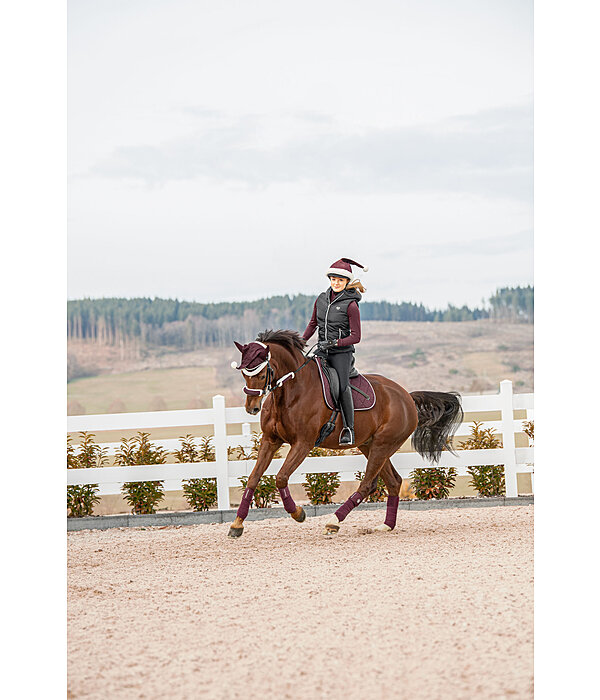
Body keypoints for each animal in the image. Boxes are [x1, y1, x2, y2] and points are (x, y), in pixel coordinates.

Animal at [227, 330, 462, 540]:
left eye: (260, 373)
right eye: (243, 374)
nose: (252, 408)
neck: (290, 393)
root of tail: (407, 397)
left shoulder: (302, 443)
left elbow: (281, 477)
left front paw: (298, 513)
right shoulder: (270, 440)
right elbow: (253, 478)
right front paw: (237, 524)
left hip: (382, 445)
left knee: (368, 484)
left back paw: (333, 522)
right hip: (370, 445)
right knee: (393, 481)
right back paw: (386, 525)